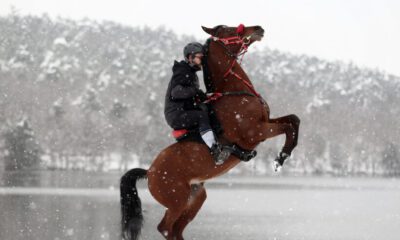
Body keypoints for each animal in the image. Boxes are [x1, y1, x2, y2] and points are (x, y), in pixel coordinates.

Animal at [119, 24, 300, 240]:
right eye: (230, 29)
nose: (258, 28)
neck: (234, 91)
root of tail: (149, 172)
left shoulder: (266, 122)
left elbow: (294, 120)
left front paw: (284, 155)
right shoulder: (256, 131)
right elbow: (287, 127)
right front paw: (281, 157)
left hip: (196, 198)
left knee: (176, 229)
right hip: (177, 200)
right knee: (165, 227)